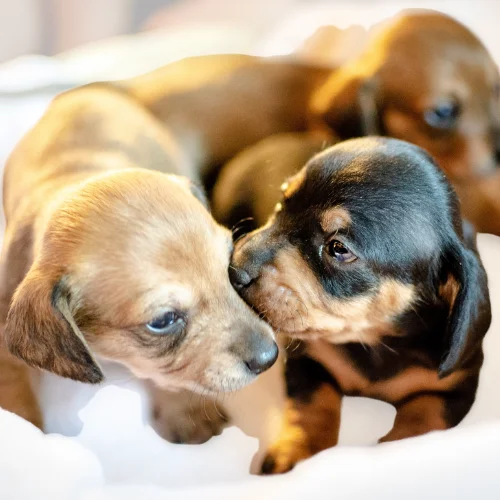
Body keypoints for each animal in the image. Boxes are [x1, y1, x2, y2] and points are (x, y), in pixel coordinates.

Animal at [230, 137, 492, 472]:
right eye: (281, 205)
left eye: (338, 248)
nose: (234, 269)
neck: (376, 340)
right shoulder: (309, 359)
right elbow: (313, 406)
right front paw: (294, 454)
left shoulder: (454, 386)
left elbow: (425, 420)